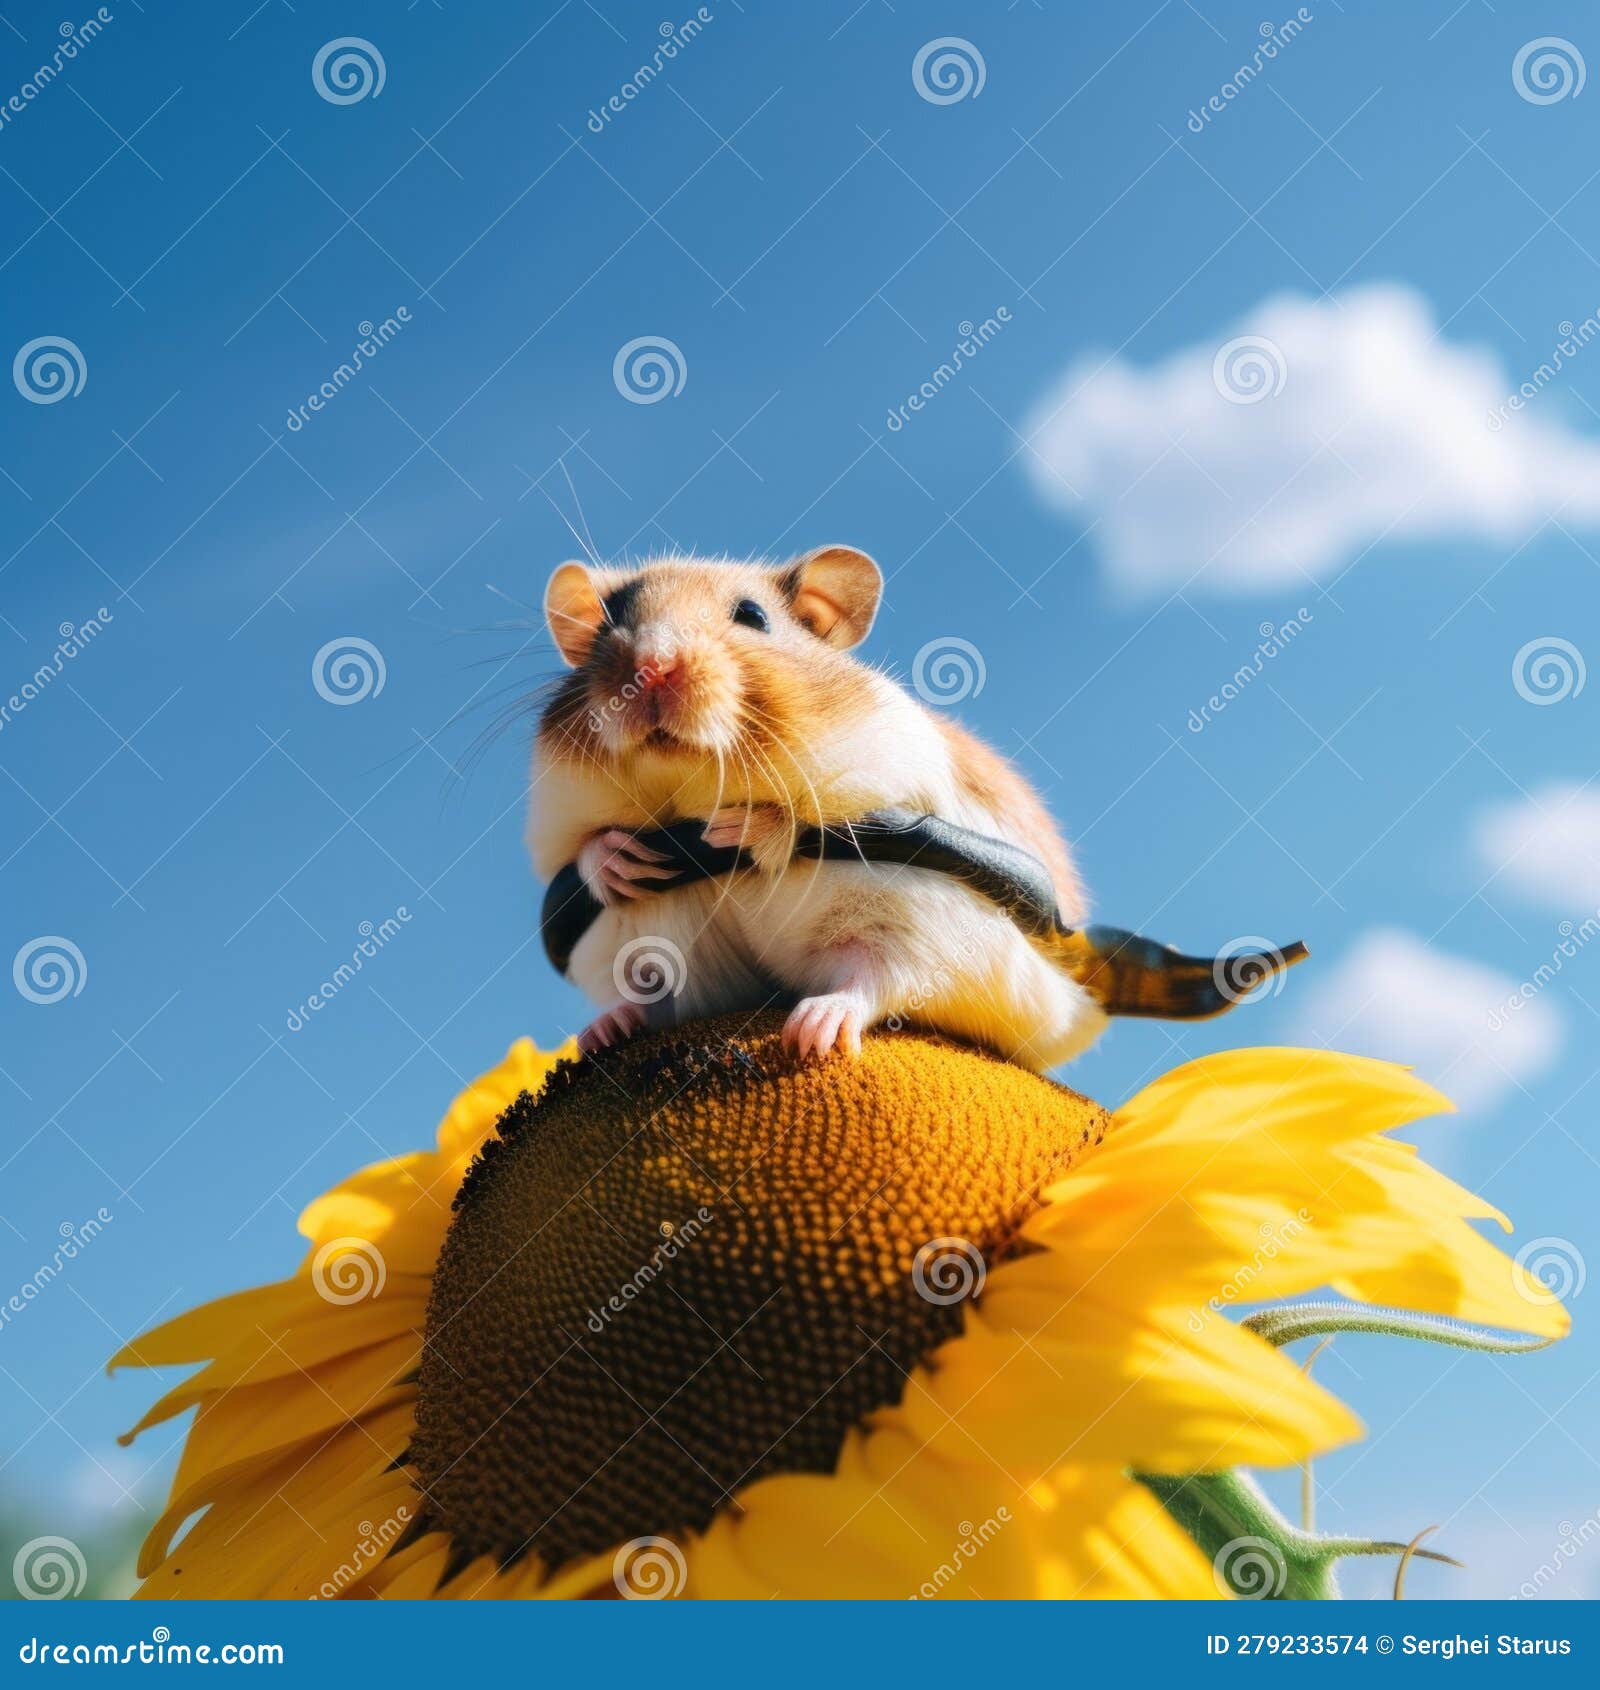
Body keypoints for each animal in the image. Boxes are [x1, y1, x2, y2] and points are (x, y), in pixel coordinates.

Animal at [528, 546, 1106, 1072]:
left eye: (752, 615)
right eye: (607, 621)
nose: (652, 666)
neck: (689, 788)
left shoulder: (896, 781)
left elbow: (796, 819)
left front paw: (737, 829)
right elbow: (586, 847)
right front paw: (621, 862)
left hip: (924, 926)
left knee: (873, 982)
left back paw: (812, 1031)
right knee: (645, 997)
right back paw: (600, 1033)